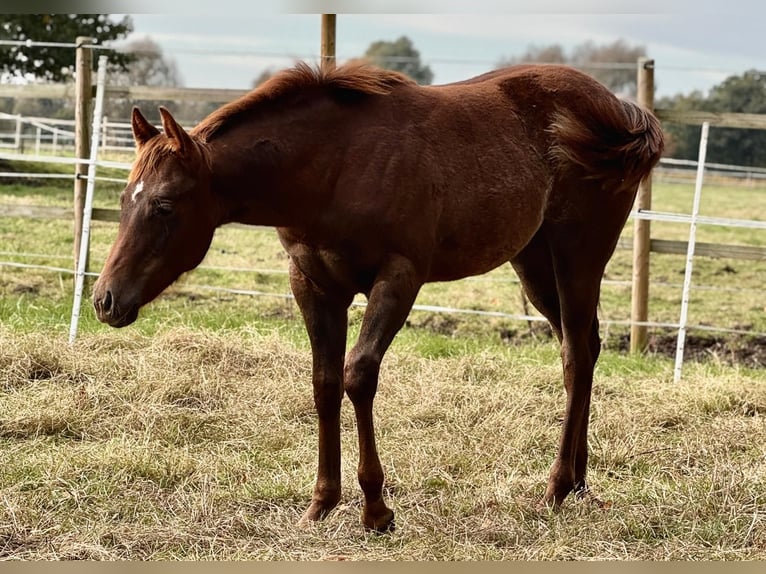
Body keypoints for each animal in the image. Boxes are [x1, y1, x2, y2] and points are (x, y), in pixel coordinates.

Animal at [92, 61, 663, 532]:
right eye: (123, 201)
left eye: (164, 206)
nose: (105, 300)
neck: (333, 166)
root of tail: (618, 109)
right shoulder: (314, 284)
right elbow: (324, 384)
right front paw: (322, 503)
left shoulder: (398, 279)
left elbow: (358, 376)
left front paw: (375, 509)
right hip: (535, 262)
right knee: (583, 348)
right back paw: (580, 483)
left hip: (577, 257)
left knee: (576, 356)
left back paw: (555, 487)